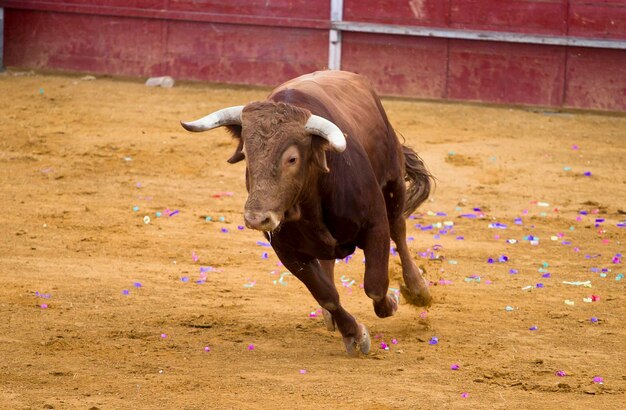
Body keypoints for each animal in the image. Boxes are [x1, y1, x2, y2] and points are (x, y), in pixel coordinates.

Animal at [180, 70, 432, 356]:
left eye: (292, 159)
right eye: (246, 154)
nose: (257, 218)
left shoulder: (375, 224)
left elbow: (376, 286)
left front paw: (393, 300)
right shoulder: (287, 250)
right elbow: (327, 295)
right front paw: (354, 335)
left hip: (393, 181)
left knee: (398, 228)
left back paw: (418, 290)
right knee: (329, 262)